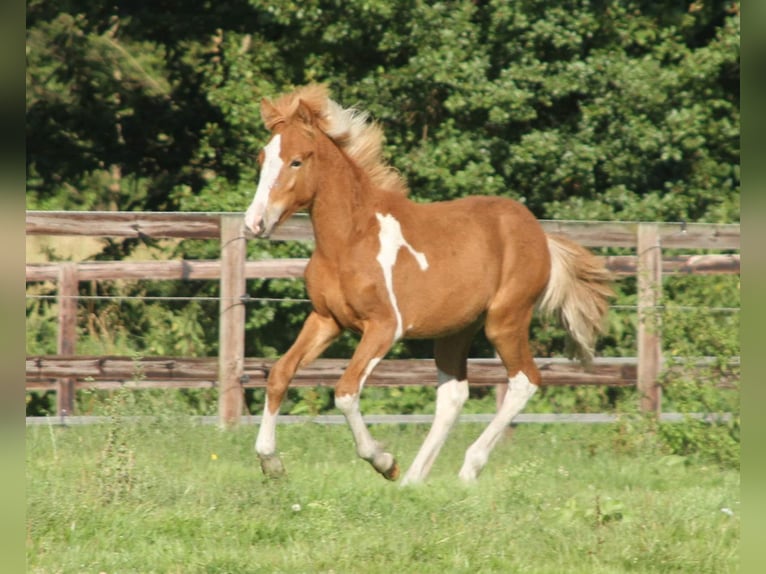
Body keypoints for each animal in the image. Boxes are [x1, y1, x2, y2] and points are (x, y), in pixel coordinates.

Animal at [243, 83, 616, 484]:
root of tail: (539, 234)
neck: (349, 241)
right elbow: (280, 374)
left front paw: (384, 462)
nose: (254, 223)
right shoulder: (327, 320)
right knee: (453, 396)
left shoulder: (384, 326)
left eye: (297, 161)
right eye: (262, 157)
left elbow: (345, 392)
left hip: (505, 320)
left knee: (524, 381)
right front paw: (270, 462)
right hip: (456, 330)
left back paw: (465, 469)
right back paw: (414, 480)